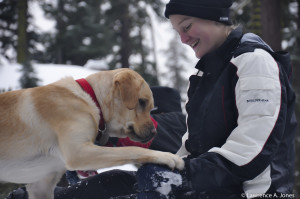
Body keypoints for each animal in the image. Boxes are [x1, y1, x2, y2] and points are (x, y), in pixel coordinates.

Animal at [0, 68, 184, 199]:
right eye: (142, 102)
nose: (154, 132)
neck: (90, 99)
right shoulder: (77, 152)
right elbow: (131, 150)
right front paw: (166, 156)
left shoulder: (42, 184)